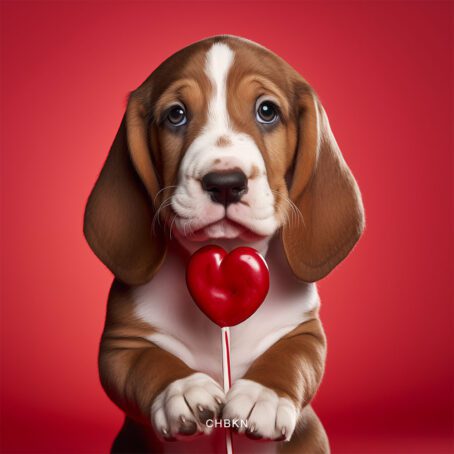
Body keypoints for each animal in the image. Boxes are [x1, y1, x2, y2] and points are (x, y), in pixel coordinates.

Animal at [84, 33, 366, 452]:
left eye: (267, 111)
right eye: (176, 115)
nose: (226, 183)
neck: (228, 252)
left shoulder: (305, 331)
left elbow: (293, 358)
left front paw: (264, 394)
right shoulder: (122, 343)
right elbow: (146, 362)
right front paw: (182, 390)